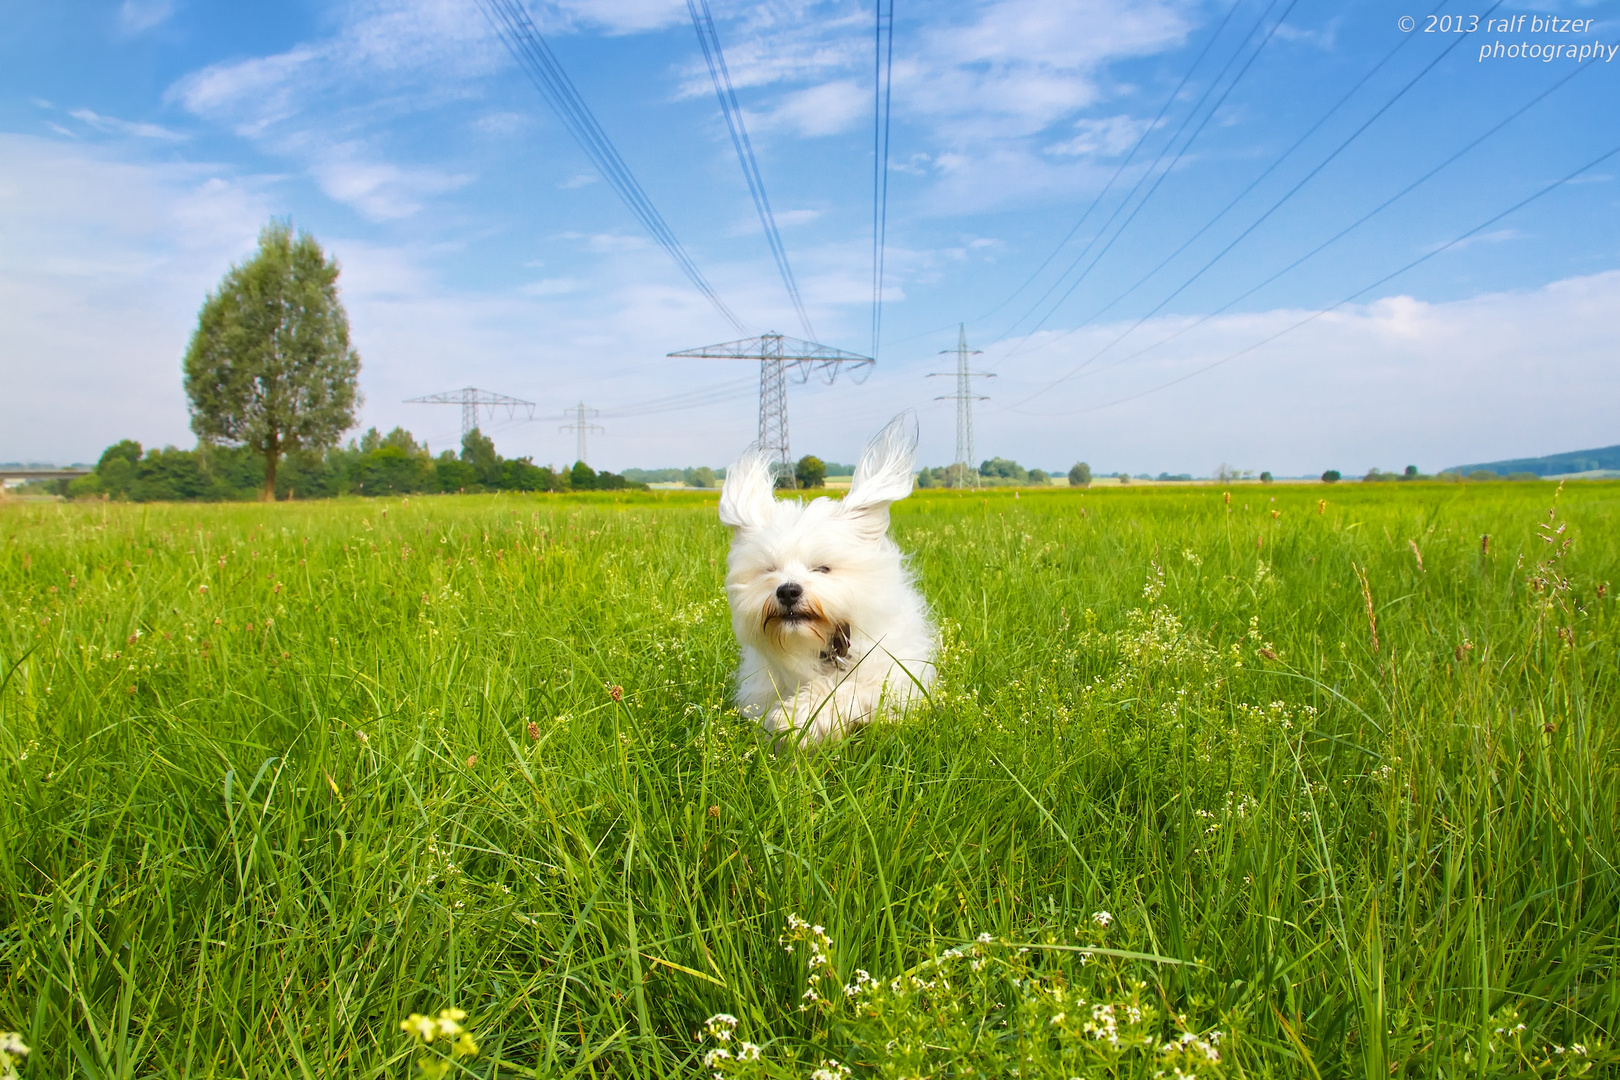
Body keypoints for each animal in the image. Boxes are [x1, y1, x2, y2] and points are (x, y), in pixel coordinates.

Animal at [719, 414, 939, 744]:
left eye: (822, 568)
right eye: (770, 570)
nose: (788, 591)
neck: (822, 647)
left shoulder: (890, 678)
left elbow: (845, 692)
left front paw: (795, 716)